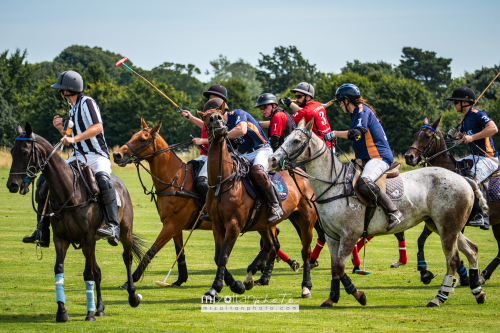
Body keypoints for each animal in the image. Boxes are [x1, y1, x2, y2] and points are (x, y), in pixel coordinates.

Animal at [6, 122, 145, 322]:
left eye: (25, 152)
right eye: (11, 151)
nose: (12, 184)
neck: (67, 192)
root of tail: (121, 184)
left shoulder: (88, 237)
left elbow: (88, 273)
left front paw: (89, 314)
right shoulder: (61, 238)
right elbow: (60, 269)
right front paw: (62, 312)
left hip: (124, 231)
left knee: (126, 257)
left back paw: (132, 296)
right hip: (90, 244)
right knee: (98, 271)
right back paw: (100, 307)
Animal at [196, 107, 316, 300]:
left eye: (220, 115)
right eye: (207, 117)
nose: (216, 120)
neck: (224, 181)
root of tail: (301, 173)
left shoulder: (234, 225)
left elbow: (223, 257)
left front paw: (215, 288)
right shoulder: (217, 225)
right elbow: (217, 256)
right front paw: (235, 284)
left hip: (306, 219)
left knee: (305, 251)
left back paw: (306, 286)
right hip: (264, 224)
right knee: (270, 245)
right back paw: (254, 277)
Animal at [272, 118, 486, 308]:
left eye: (296, 141)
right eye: (285, 138)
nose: (273, 159)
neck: (333, 184)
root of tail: (464, 179)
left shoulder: (350, 234)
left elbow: (340, 266)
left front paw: (358, 295)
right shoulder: (333, 236)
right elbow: (334, 267)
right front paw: (332, 298)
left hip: (448, 227)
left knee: (453, 260)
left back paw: (439, 298)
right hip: (443, 226)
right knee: (472, 249)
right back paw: (477, 291)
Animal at [406, 115, 500, 284]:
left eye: (428, 136)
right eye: (416, 135)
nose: (409, 157)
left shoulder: (454, 221)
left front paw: (464, 275)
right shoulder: (435, 219)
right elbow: (421, 240)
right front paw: (424, 272)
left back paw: (482, 275)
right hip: (497, 223)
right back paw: (484, 275)